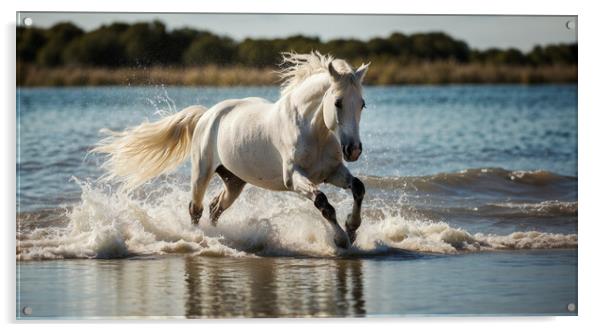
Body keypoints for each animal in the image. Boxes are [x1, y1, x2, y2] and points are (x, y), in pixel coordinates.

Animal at [94, 52, 368, 248]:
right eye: (337, 102)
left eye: (362, 104)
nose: (353, 150)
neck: (314, 132)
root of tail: (207, 114)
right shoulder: (294, 178)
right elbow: (323, 203)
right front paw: (341, 239)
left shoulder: (330, 172)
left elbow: (358, 187)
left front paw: (352, 228)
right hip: (201, 172)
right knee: (196, 208)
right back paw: (199, 238)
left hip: (234, 181)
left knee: (216, 208)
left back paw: (219, 237)